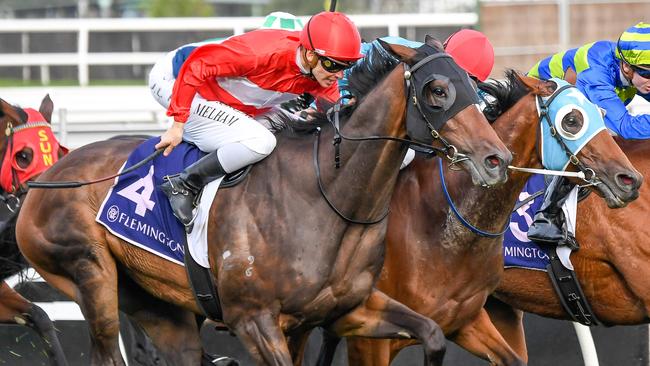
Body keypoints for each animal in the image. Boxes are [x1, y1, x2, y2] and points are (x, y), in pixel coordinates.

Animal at [13, 36, 512, 364]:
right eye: (438, 91)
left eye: (475, 87)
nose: (497, 158)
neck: (327, 199)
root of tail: (45, 179)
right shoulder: (255, 321)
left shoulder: (346, 310)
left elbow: (433, 334)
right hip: (89, 272)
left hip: (159, 307)